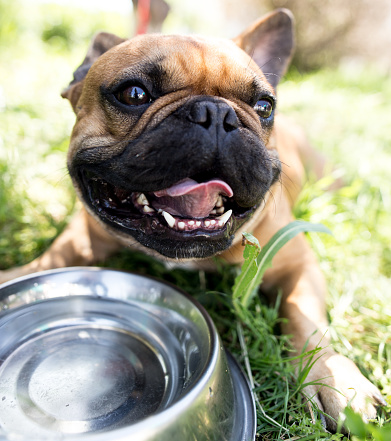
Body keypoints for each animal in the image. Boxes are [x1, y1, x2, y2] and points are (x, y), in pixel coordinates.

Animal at [0, 7, 386, 430]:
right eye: (133, 94)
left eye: (264, 106)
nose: (216, 113)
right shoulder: (79, 238)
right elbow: (42, 266)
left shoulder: (297, 264)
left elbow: (308, 322)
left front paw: (334, 377)